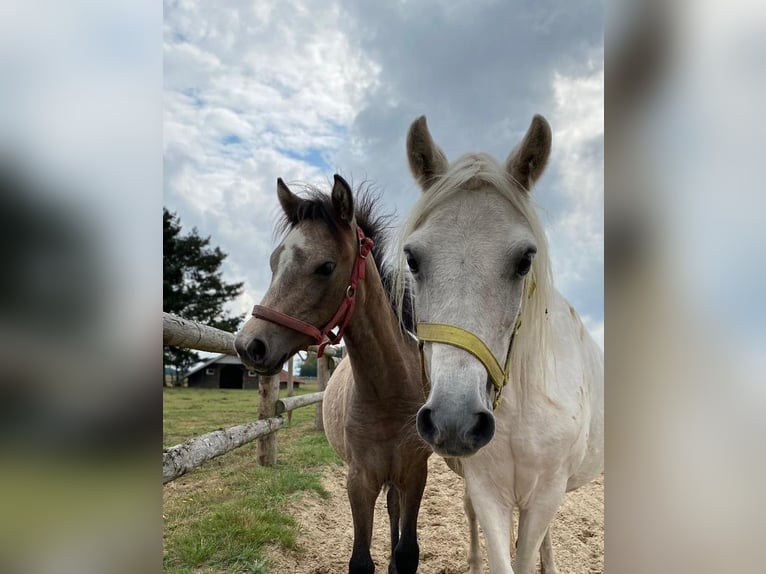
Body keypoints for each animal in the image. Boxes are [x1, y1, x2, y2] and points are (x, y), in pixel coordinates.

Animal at [234, 175, 430, 574]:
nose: (250, 346)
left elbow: (407, 553)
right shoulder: (359, 480)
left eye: (325, 267)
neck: (388, 393)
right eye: (274, 261)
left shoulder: (416, 473)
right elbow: (361, 561)